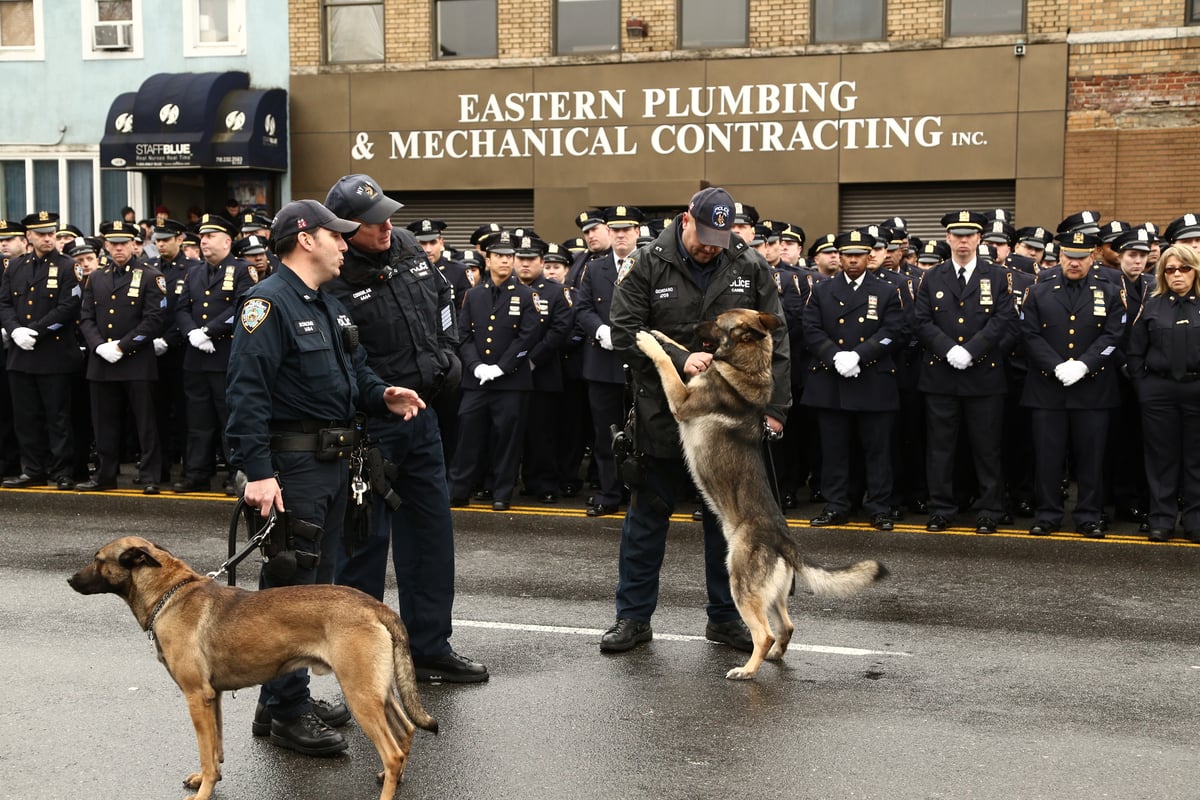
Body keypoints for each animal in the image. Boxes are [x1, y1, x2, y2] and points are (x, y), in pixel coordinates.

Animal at [68, 537, 439, 800]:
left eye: (98, 560)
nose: (70, 579)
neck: (170, 594)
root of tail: (376, 606)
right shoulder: (212, 697)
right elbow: (215, 749)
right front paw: (207, 780)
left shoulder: (196, 698)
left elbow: (206, 752)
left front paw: (204, 792)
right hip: (379, 691)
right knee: (406, 730)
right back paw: (393, 778)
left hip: (361, 695)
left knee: (392, 751)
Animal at [633, 309, 888, 681]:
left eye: (717, 321)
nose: (693, 324)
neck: (746, 369)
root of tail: (785, 541)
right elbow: (682, 352)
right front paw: (660, 335)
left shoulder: (681, 400)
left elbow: (667, 363)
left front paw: (650, 343)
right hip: (772, 594)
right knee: (787, 626)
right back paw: (775, 656)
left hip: (740, 583)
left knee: (765, 633)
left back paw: (747, 670)